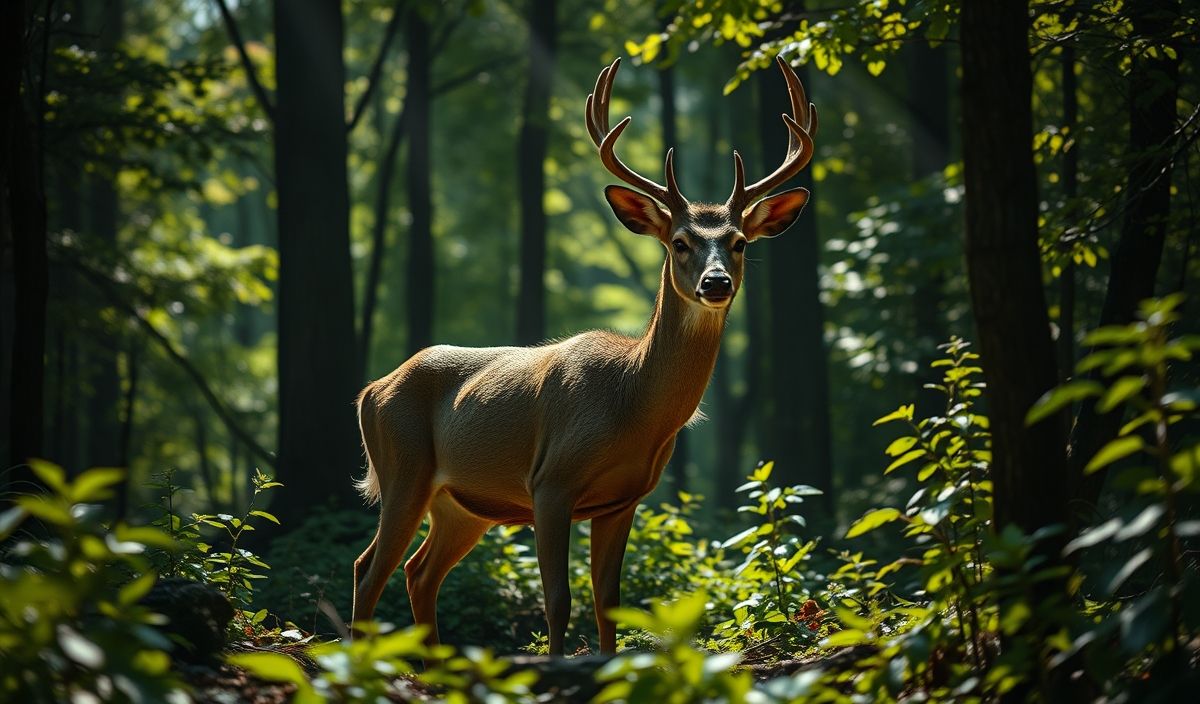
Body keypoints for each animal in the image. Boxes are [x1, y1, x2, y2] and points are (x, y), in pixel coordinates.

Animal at [348, 55, 816, 657]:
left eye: (739, 242)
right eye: (680, 242)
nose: (716, 283)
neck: (633, 405)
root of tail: (370, 391)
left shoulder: (624, 500)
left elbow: (608, 601)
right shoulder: (551, 481)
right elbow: (558, 600)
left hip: (461, 503)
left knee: (418, 572)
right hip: (403, 468)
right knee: (368, 568)